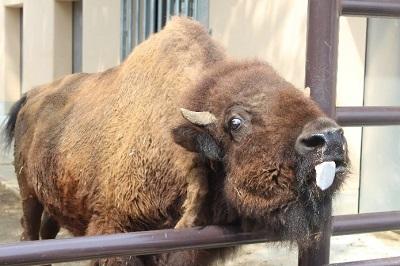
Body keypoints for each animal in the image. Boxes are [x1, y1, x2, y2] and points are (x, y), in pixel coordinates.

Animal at [3, 17, 348, 264]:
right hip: (28, 193)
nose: (329, 137)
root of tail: (31, 96)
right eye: (235, 122)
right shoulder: (114, 229)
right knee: (30, 233)